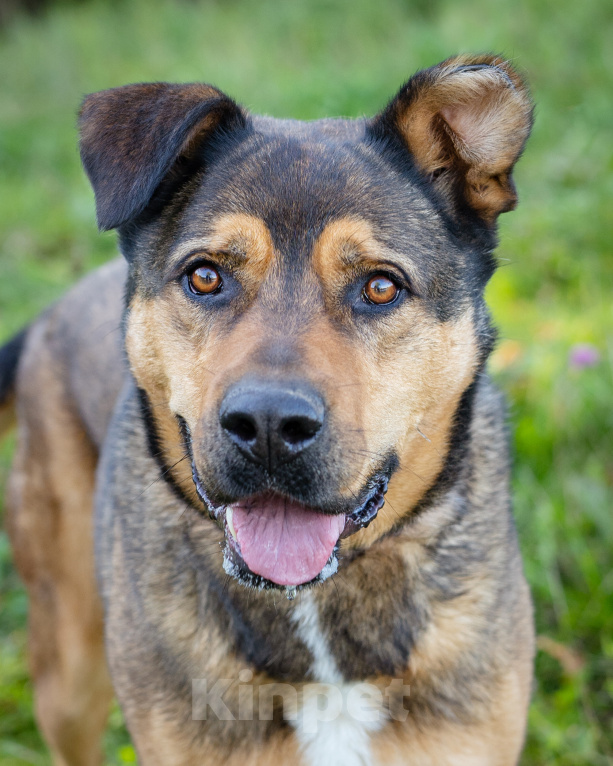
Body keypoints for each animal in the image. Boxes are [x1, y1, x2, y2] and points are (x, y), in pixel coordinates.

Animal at [0, 55, 532, 766]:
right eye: (204, 277)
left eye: (381, 287)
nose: (270, 426)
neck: (313, 602)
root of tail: (48, 315)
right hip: (69, 663)